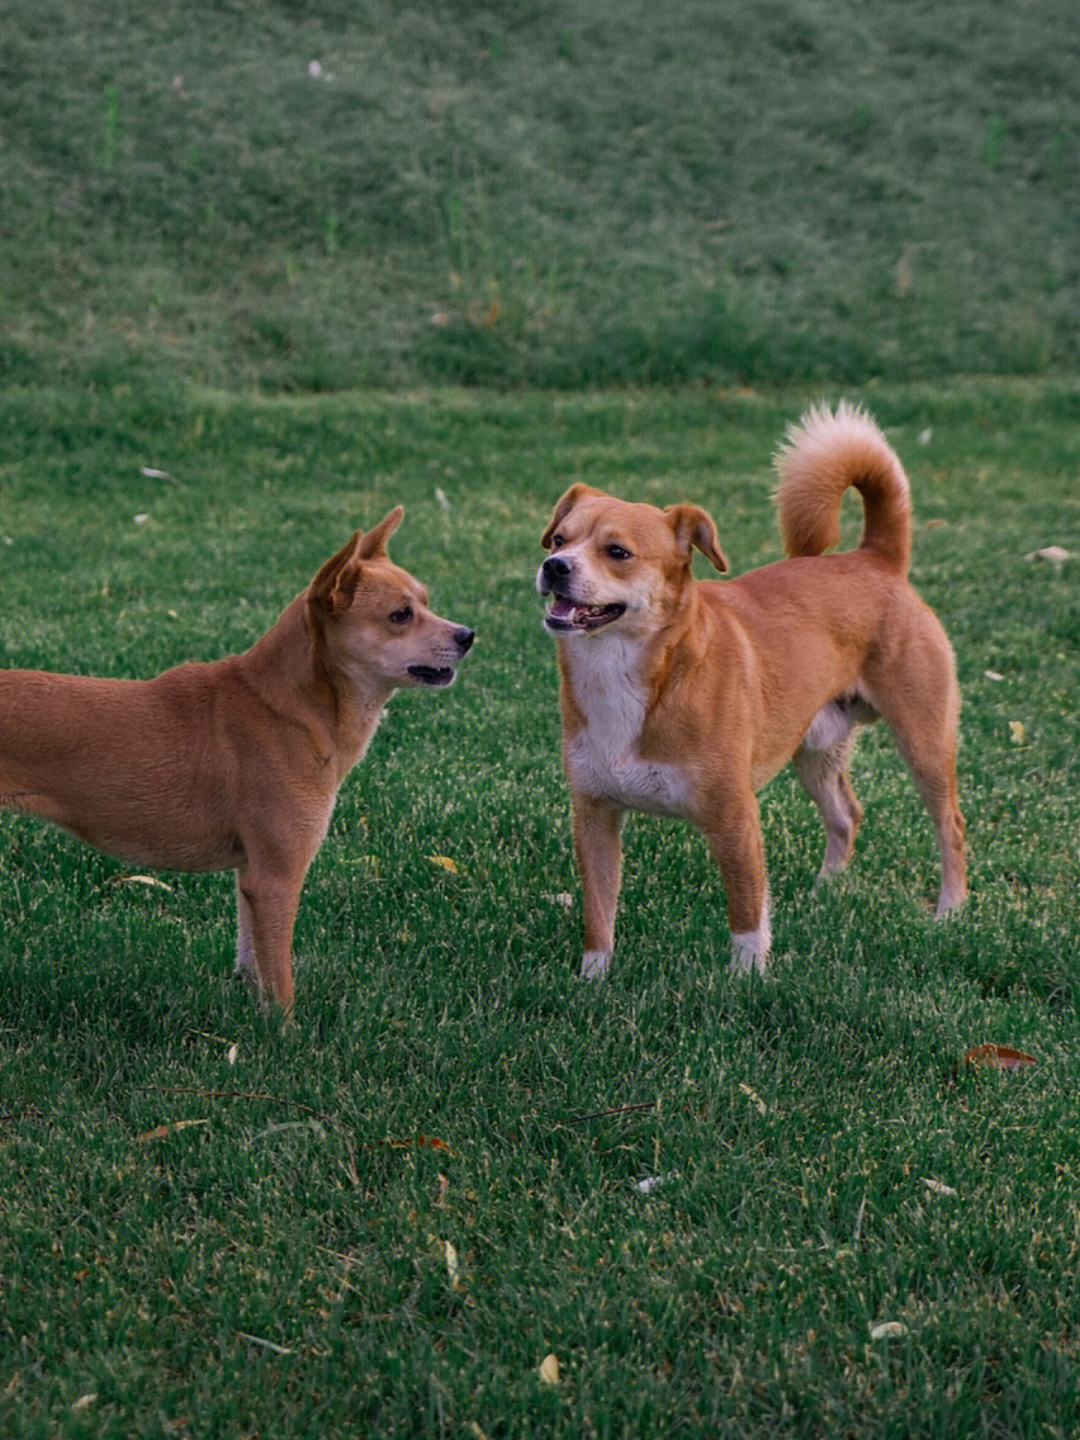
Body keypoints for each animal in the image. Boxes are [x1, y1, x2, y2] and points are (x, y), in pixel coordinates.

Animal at [0, 506, 472, 1013]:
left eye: (425, 602)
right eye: (400, 616)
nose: (468, 635)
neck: (288, 708)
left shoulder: (251, 876)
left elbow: (252, 962)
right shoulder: (276, 878)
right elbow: (280, 978)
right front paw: (285, 1029)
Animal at [541, 403, 973, 979]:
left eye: (617, 552)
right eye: (560, 539)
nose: (553, 567)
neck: (636, 674)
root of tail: (874, 559)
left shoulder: (734, 818)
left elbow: (746, 910)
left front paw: (744, 979)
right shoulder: (594, 816)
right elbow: (599, 910)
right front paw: (593, 978)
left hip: (924, 741)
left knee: (950, 824)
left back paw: (950, 910)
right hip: (815, 749)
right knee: (846, 816)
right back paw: (823, 893)